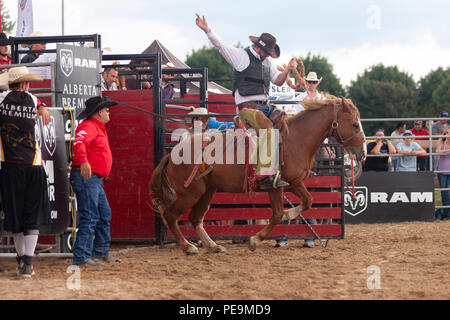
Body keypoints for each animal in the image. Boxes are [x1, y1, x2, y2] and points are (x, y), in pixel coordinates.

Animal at [150, 95, 366, 255]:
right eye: (355, 124)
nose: (362, 153)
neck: (295, 139)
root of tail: (172, 153)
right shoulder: (275, 186)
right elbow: (277, 214)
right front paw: (255, 239)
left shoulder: (293, 183)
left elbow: (308, 201)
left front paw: (288, 214)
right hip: (191, 193)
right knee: (171, 215)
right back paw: (188, 247)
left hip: (207, 190)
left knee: (195, 218)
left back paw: (212, 246)